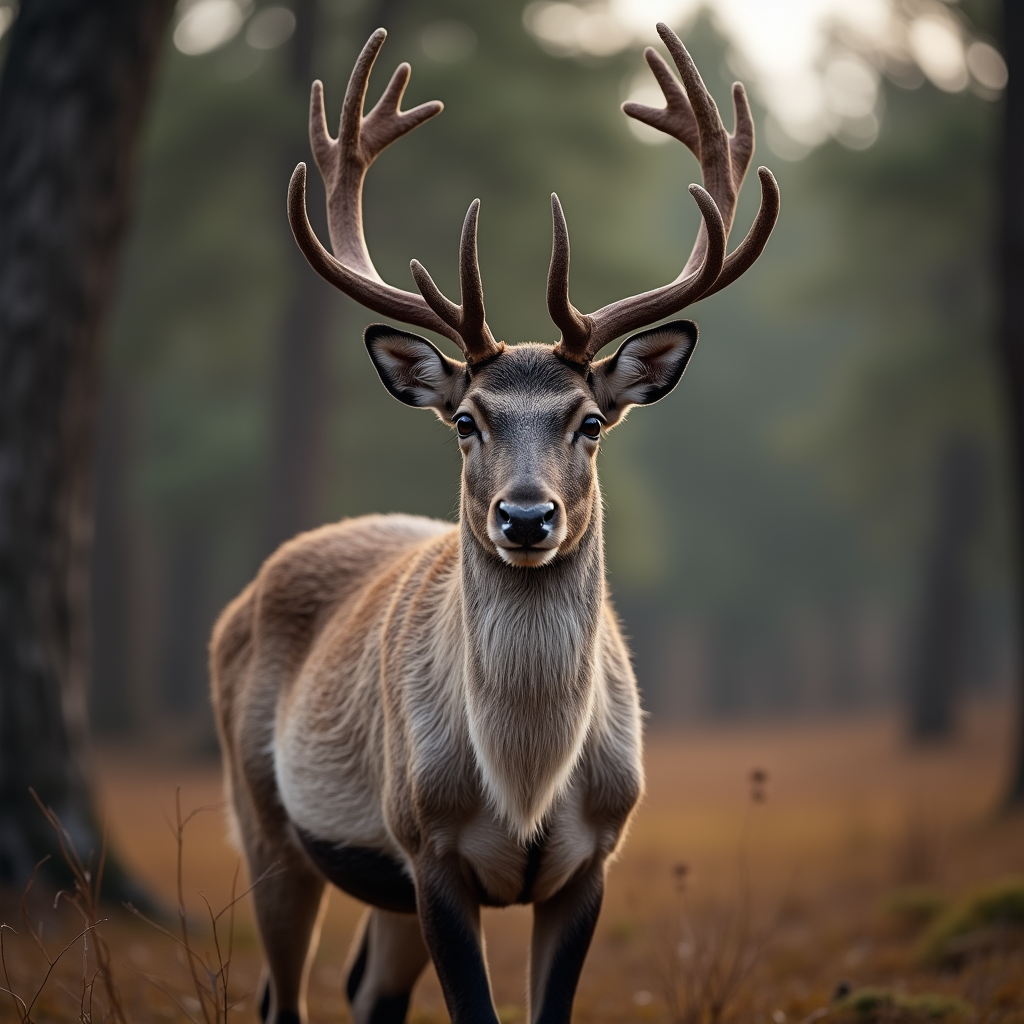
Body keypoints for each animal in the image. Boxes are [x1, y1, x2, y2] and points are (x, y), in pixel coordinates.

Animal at [210, 21, 778, 1024]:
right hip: (267, 823)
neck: (525, 784)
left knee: (367, 990)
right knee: (284, 996)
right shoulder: (428, 847)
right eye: (467, 420)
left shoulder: (593, 858)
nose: (524, 514)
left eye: (589, 422)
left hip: (375, 880)